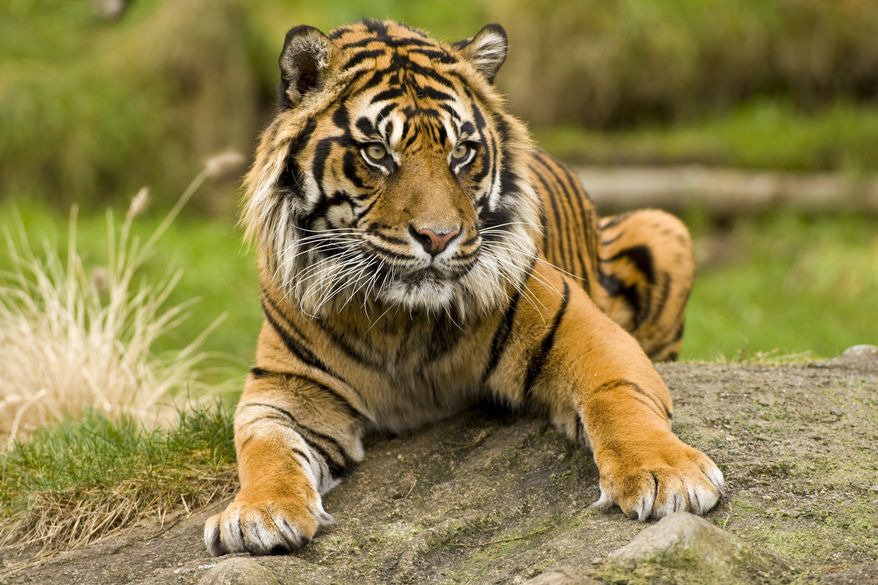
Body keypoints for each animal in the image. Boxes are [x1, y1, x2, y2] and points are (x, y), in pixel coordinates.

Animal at [204, 19, 723, 556]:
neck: (400, 319)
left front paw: (667, 476)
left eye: (462, 152)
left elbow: (616, 393)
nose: (439, 237)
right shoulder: (286, 386)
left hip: (666, 226)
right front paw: (260, 512)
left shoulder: (585, 332)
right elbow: (263, 444)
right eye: (377, 153)